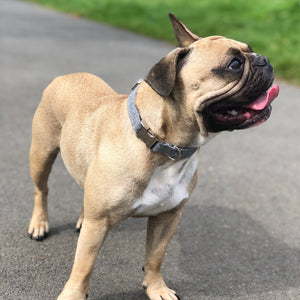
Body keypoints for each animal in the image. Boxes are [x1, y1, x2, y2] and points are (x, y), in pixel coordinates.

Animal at [28, 12, 278, 298]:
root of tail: (66, 76)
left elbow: (155, 257)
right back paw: (39, 224)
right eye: (234, 64)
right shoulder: (98, 225)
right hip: (41, 154)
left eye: (250, 50)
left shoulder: (167, 217)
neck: (163, 145)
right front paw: (72, 295)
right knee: (41, 190)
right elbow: (83, 267)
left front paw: (156, 288)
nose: (264, 59)